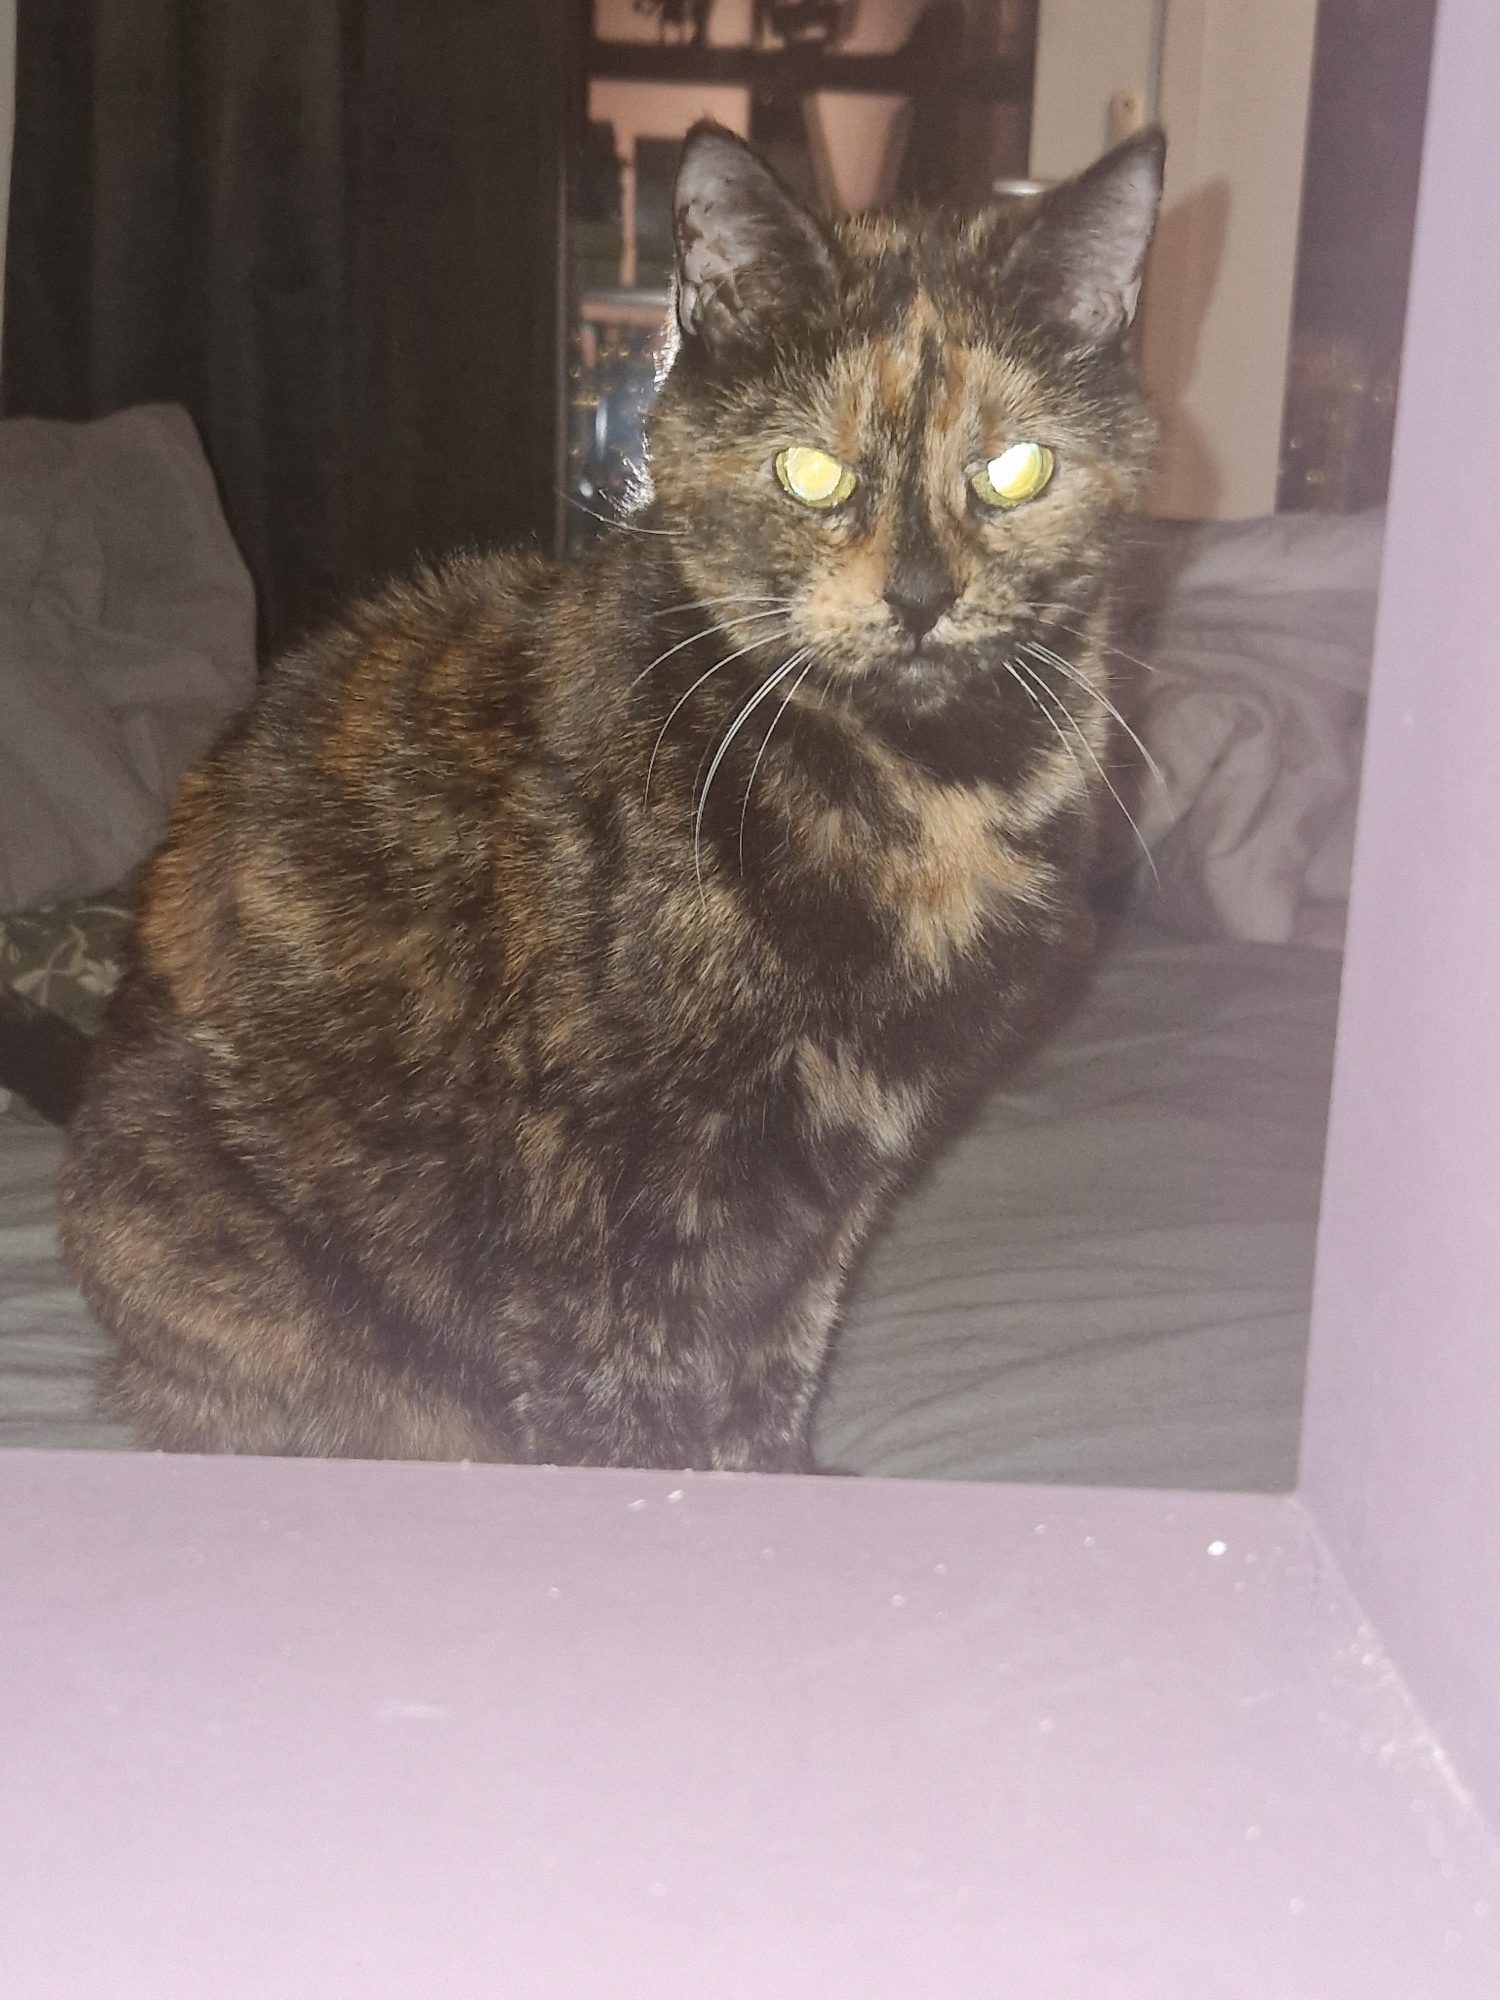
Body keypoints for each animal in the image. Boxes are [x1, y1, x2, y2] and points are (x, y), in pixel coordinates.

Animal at [58, 121, 1164, 1471]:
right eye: (809, 471)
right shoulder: (590, 1172)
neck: (918, 792)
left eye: (1014, 470)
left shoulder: (831, 1189)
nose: (917, 595)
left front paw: (779, 1473)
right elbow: (620, 1406)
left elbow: (773, 1363)